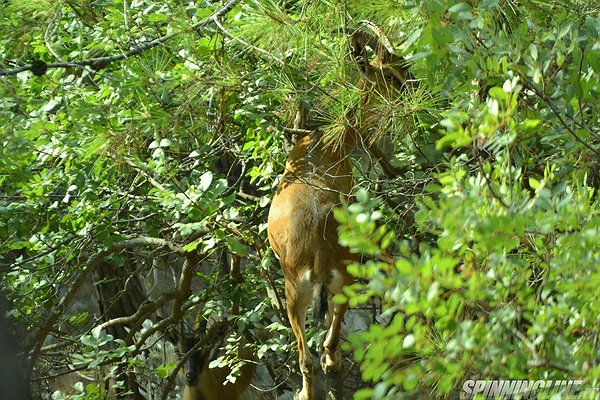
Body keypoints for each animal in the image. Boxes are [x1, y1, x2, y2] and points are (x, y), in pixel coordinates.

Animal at [268, 25, 412, 400]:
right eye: (390, 73)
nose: (414, 87)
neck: (329, 146)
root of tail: (318, 256)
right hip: (336, 277)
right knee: (324, 340)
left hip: (298, 289)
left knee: (309, 352)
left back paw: (312, 385)